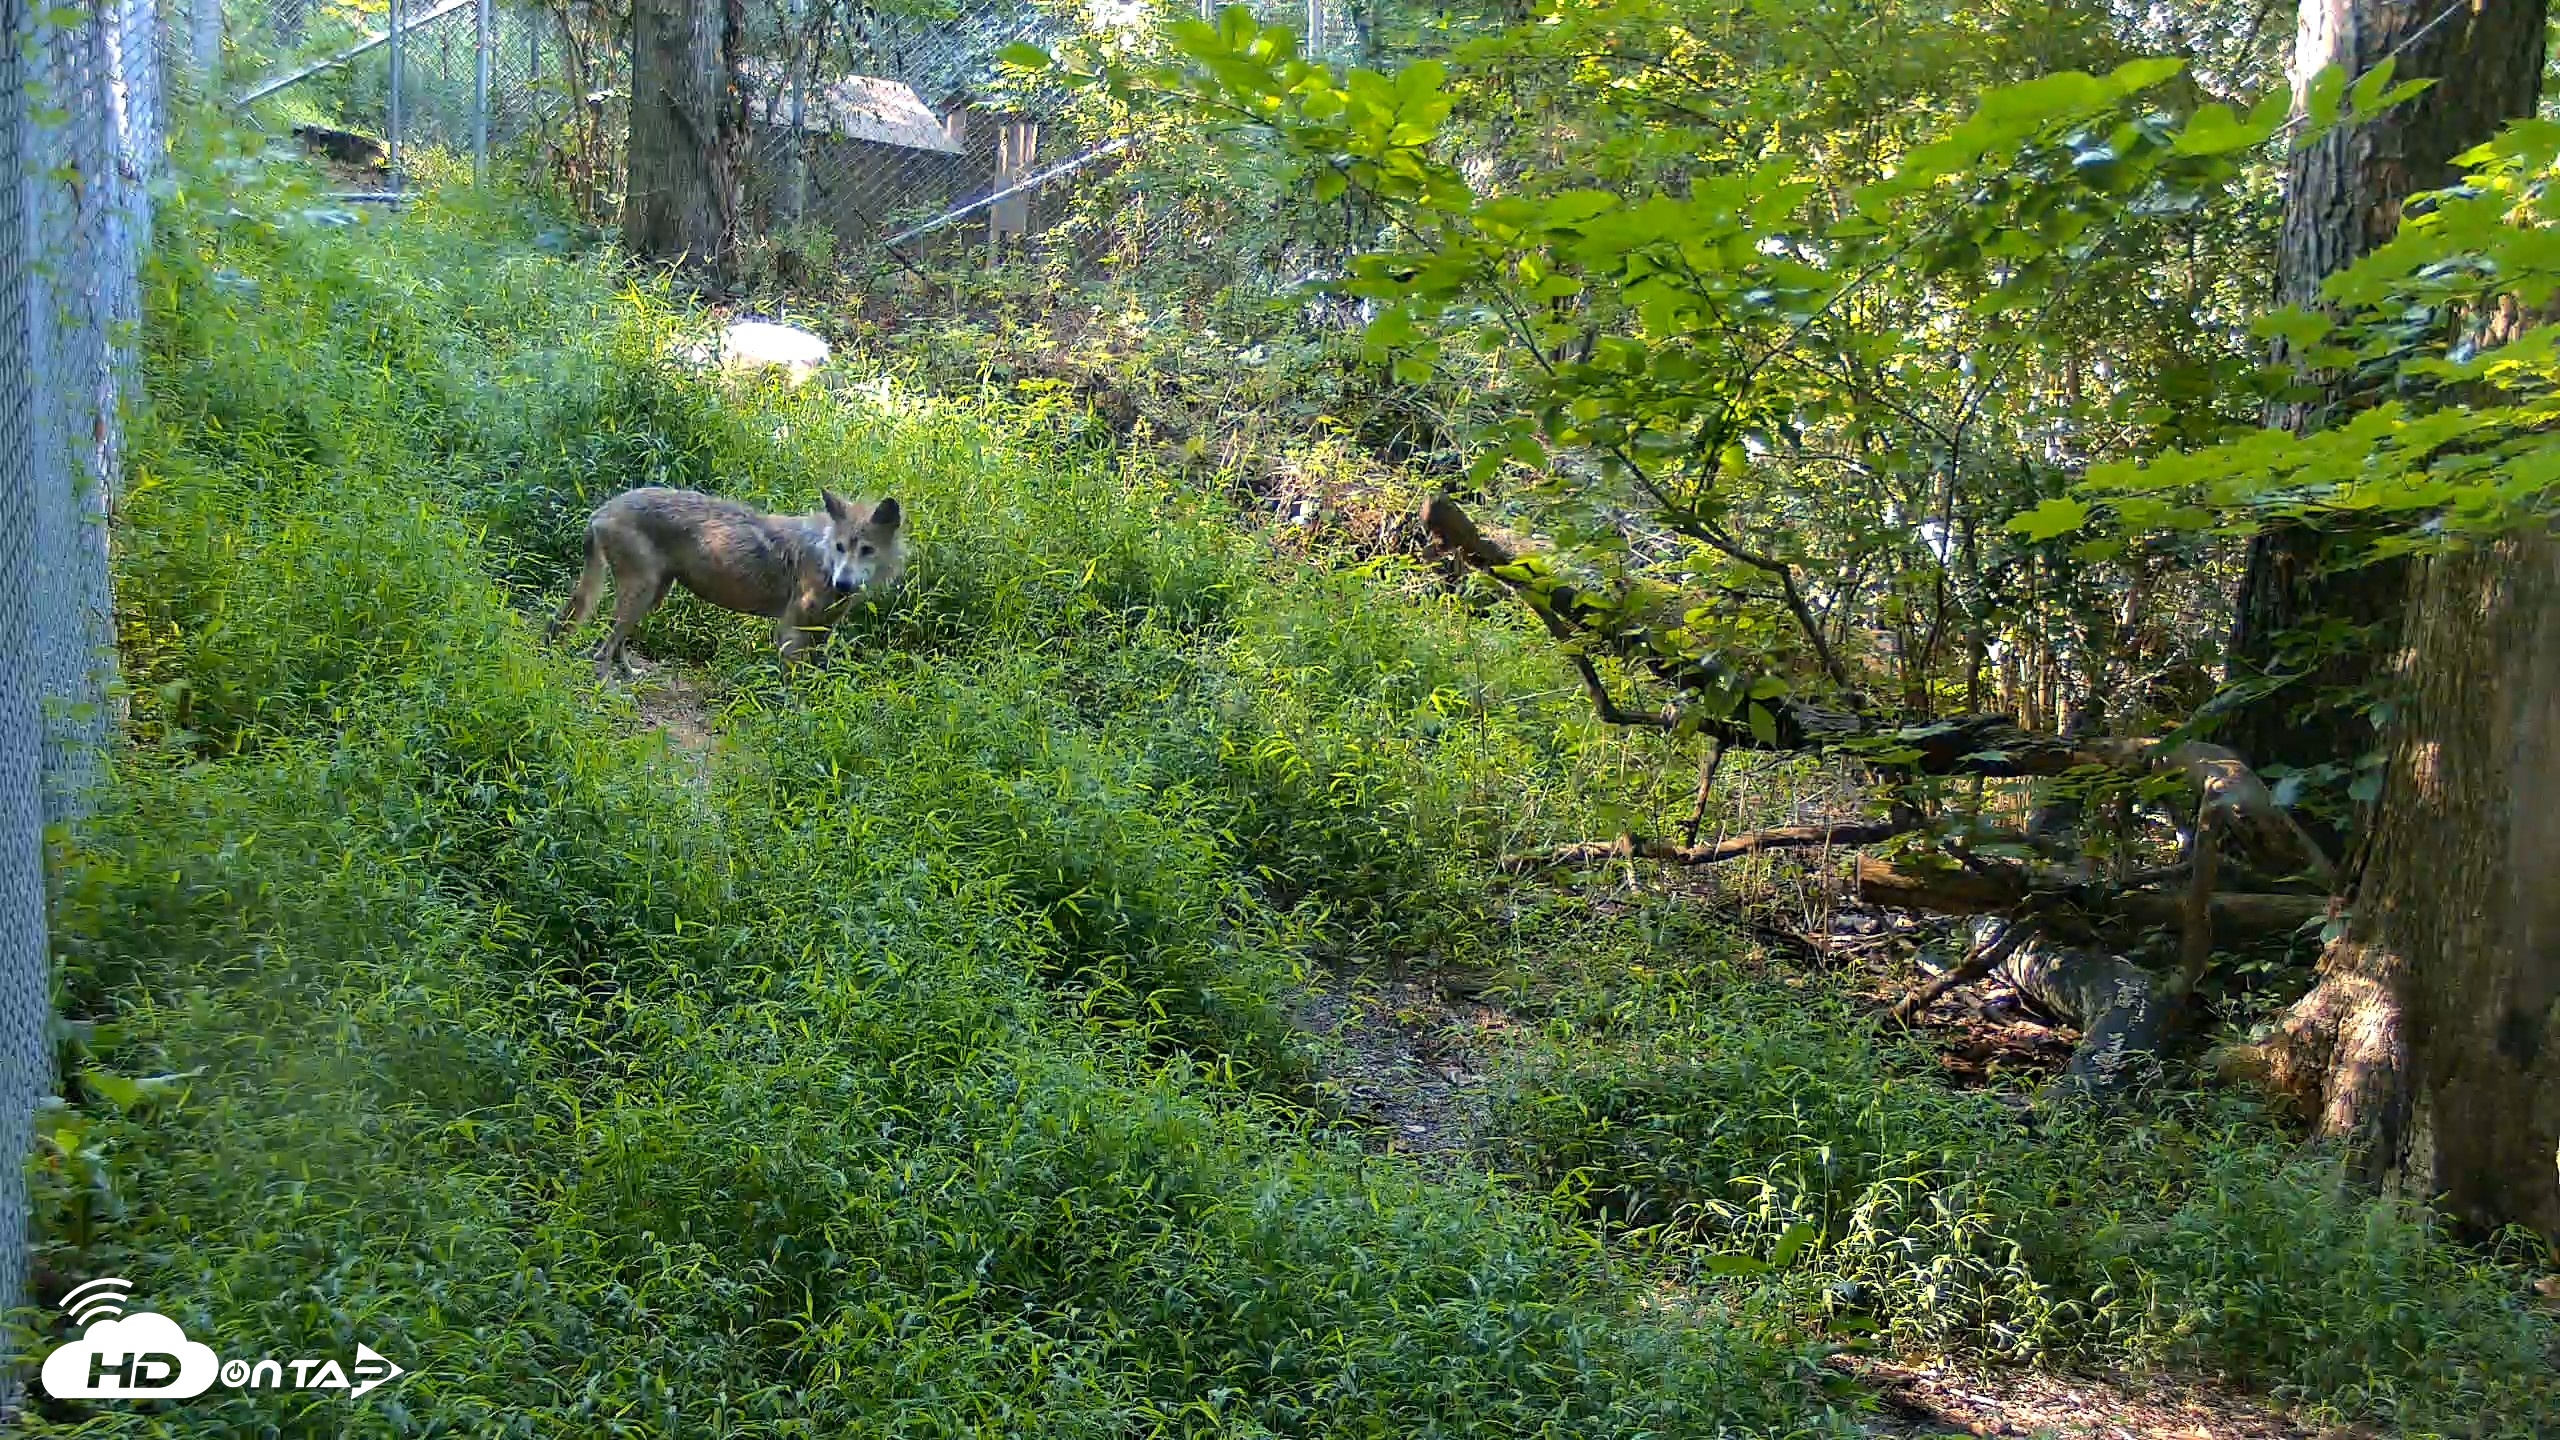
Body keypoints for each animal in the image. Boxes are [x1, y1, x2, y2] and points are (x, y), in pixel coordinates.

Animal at [548, 486, 906, 679]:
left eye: (867, 550)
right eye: (841, 547)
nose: (843, 583)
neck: (823, 558)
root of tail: (601, 510)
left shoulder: (822, 632)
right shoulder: (790, 631)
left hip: (655, 595)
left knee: (616, 643)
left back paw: (631, 675)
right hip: (642, 593)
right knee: (602, 651)